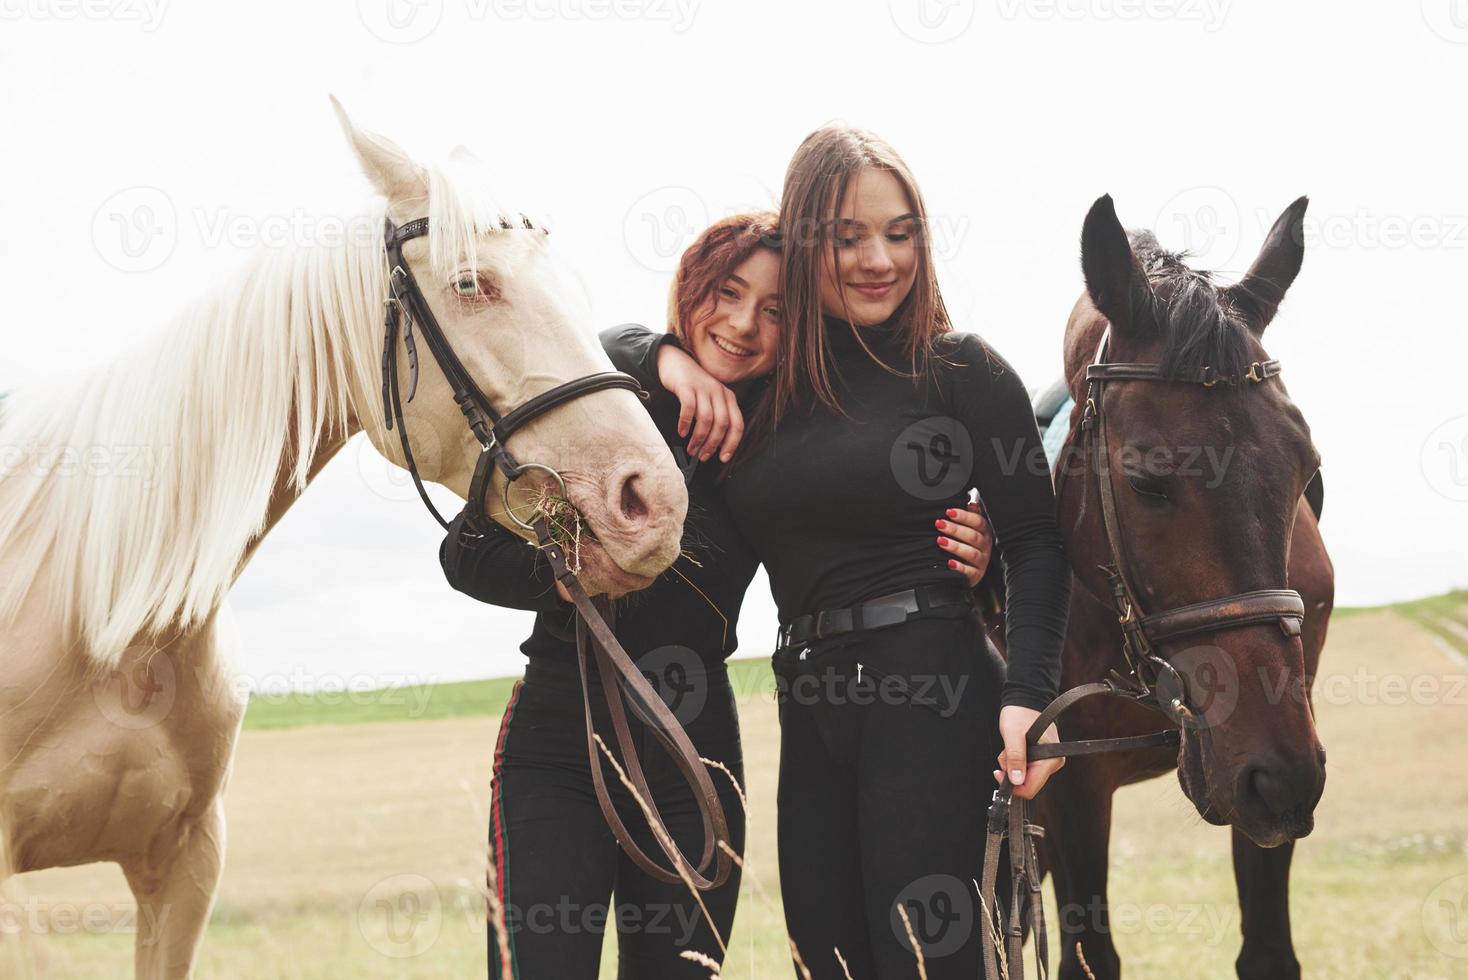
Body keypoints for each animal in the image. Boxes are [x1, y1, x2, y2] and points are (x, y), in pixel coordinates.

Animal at [980, 195, 1338, 974]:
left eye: (1306, 466)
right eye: (1146, 480)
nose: (1281, 777)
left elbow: (1269, 951)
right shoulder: (1068, 782)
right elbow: (1088, 954)